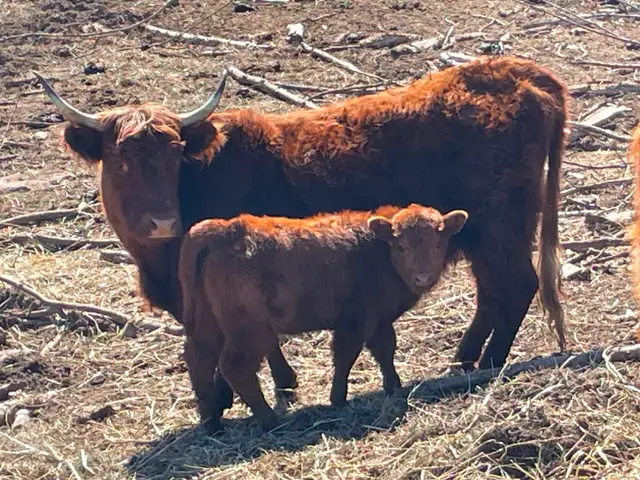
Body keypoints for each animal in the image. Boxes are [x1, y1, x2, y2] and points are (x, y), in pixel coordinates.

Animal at [179, 204, 468, 431]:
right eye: (402, 247)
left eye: (438, 243)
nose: (423, 277)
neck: (376, 250)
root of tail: (223, 230)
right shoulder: (356, 319)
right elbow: (346, 355)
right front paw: (338, 398)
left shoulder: (380, 318)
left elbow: (385, 350)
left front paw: (394, 385)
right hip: (249, 330)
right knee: (234, 366)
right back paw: (268, 420)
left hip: (209, 323)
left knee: (199, 358)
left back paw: (211, 422)